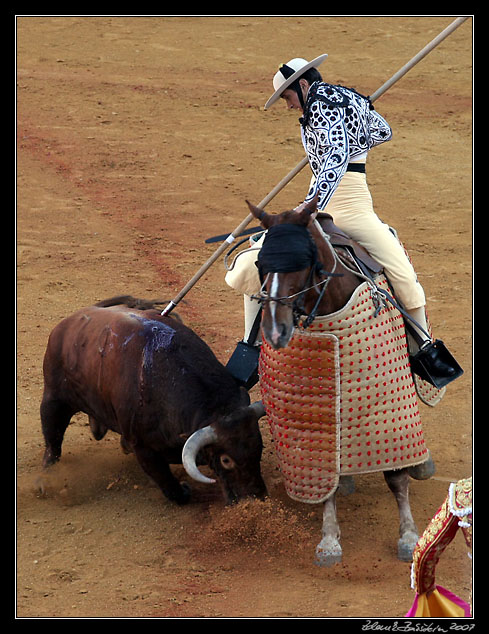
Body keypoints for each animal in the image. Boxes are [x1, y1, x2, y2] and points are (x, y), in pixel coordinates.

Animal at [39, 296, 266, 504]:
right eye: (226, 460)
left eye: (259, 447)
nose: (255, 497)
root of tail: (74, 319)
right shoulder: (143, 447)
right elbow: (167, 483)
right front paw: (183, 491)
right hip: (54, 398)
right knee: (53, 439)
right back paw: (45, 481)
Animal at [244, 196, 430, 564]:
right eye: (260, 263)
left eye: (304, 260)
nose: (274, 331)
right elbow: (323, 473)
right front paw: (329, 538)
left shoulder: (390, 406)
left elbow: (396, 476)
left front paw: (408, 535)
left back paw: (422, 464)